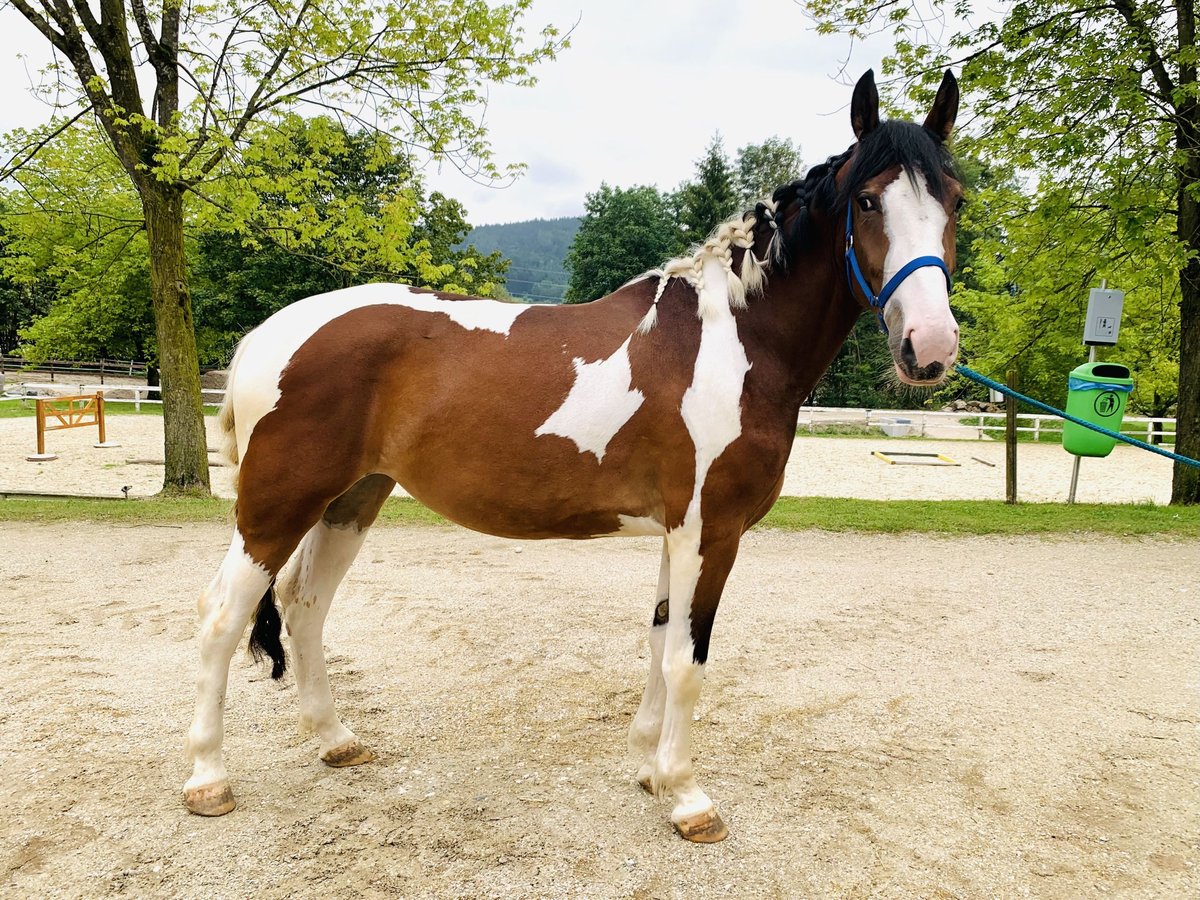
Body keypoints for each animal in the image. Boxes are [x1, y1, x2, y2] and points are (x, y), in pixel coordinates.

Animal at [180, 70, 964, 844]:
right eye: (867, 200)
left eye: (954, 201)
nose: (930, 346)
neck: (733, 341)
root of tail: (267, 335)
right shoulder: (711, 531)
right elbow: (688, 662)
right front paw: (688, 797)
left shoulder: (678, 533)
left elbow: (659, 643)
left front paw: (649, 769)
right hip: (278, 507)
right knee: (221, 616)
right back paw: (208, 779)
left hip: (351, 500)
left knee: (305, 607)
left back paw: (335, 740)